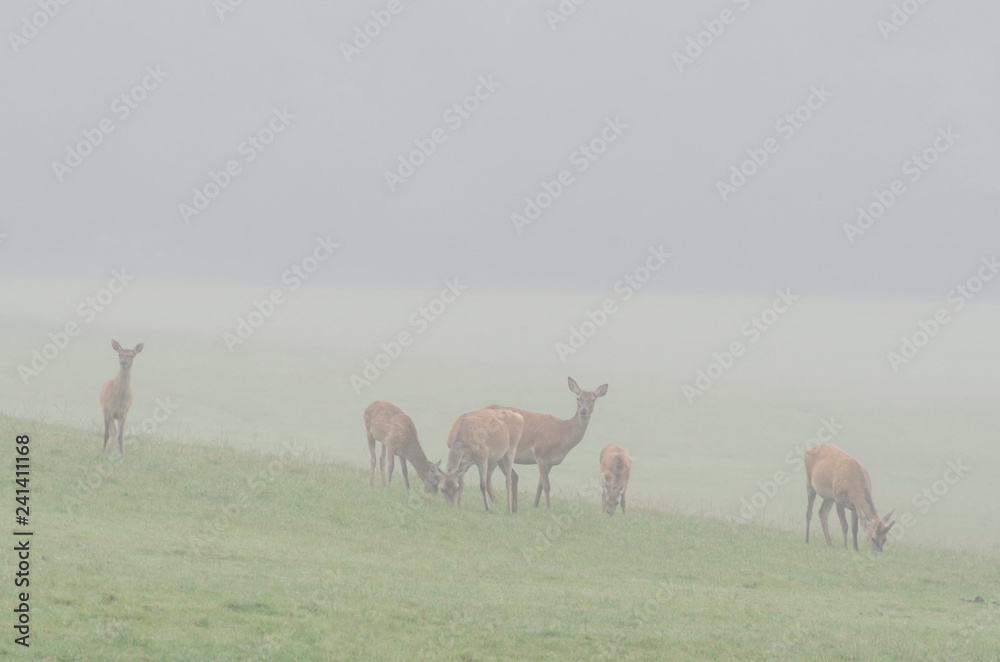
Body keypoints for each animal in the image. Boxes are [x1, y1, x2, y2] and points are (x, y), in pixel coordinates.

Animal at [484, 377, 608, 508]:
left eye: (593, 399)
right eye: (578, 398)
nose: (583, 411)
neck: (562, 435)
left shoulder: (551, 462)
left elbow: (540, 485)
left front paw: (535, 505)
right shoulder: (540, 453)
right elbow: (547, 485)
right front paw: (548, 507)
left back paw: (495, 501)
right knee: (487, 476)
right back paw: (495, 501)